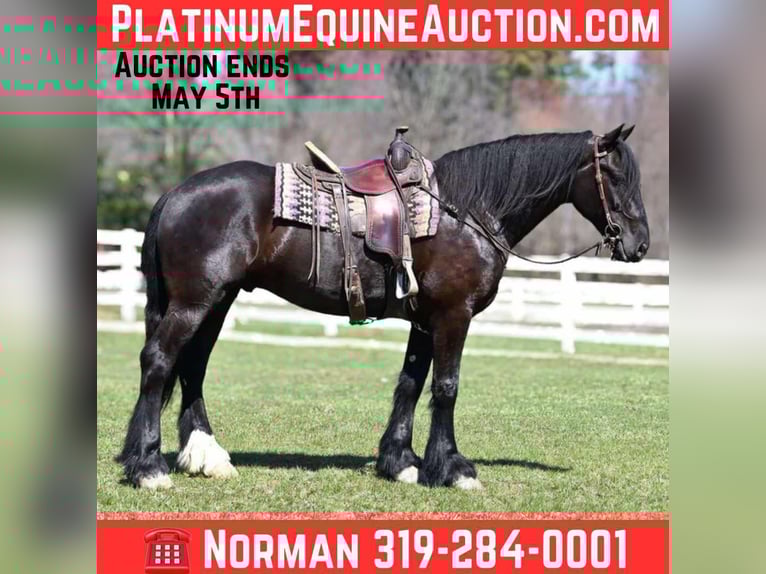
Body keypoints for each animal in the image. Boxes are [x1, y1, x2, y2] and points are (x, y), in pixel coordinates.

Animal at [116, 124, 650, 490]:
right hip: (195, 302)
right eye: (614, 174)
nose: (640, 244)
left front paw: (402, 463)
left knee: (193, 367)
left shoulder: (426, 321)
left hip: (217, 301)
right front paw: (452, 468)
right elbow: (446, 387)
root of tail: (176, 192)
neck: (466, 211)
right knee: (159, 362)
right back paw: (148, 467)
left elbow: (411, 384)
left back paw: (205, 456)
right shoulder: (453, 315)